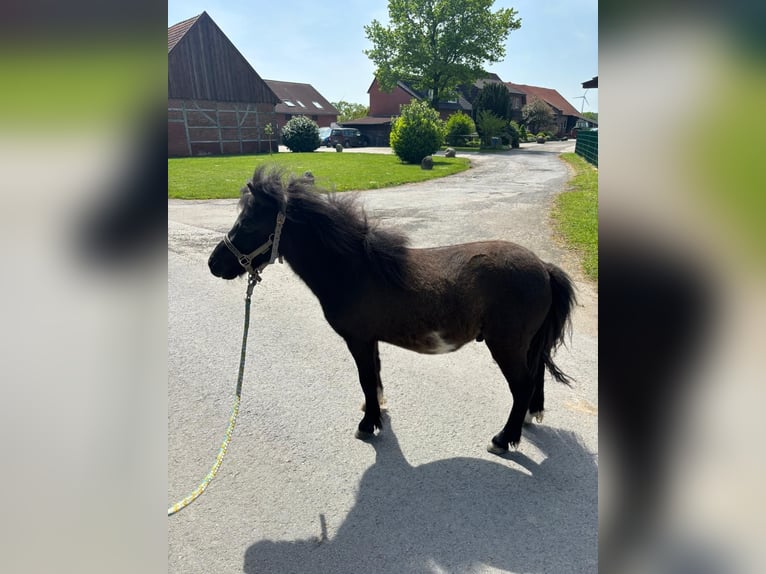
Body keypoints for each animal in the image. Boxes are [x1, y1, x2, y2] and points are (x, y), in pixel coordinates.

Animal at [210, 166, 576, 454]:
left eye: (248, 224)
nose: (214, 264)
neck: (354, 269)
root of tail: (543, 268)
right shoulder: (370, 340)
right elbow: (374, 375)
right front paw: (375, 412)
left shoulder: (358, 339)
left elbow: (366, 377)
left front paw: (367, 424)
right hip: (525, 344)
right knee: (536, 375)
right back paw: (527, 420)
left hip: (506, 345)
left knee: (522, 384)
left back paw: (503, 439)